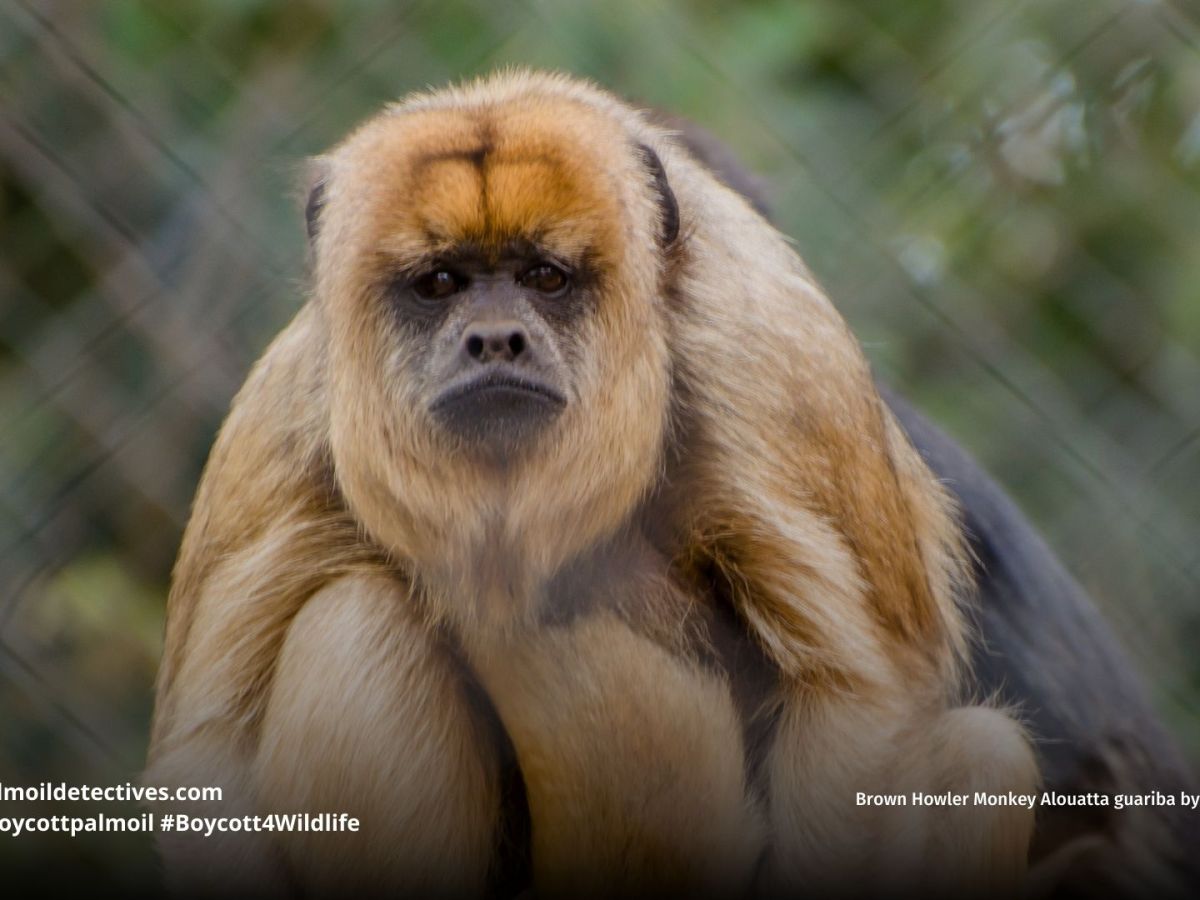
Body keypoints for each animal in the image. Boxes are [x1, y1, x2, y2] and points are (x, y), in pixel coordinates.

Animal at [145, 70, 1039, 898]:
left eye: (546, 278)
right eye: (440, 283)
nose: (495, 340)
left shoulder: (773, 363)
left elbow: (860, 698)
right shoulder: (290, 417)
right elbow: (204, 763)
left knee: (983, 753)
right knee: (354, 617)